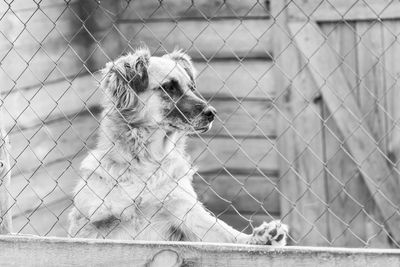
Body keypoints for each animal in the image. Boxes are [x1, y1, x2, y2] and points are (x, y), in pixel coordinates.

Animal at [68, 47, 288, 246]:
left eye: (191, 87)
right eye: (169, 87)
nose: (212, 113)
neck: (147, 162)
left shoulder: (183, 211)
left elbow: (226, 233)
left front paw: (260, 238)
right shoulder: (92, 226)